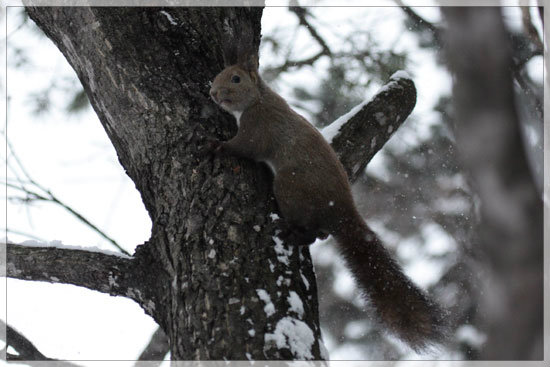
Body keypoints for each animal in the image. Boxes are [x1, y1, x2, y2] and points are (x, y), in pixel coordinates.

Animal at [207, 53, 448, 352]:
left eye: (236, 78)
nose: (213, 93)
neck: (259, 99)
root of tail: (342, 209)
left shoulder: (260, 126)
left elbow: (245, 147)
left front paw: (218, 146)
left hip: (290, 187)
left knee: (309, 231)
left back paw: (291, 232)